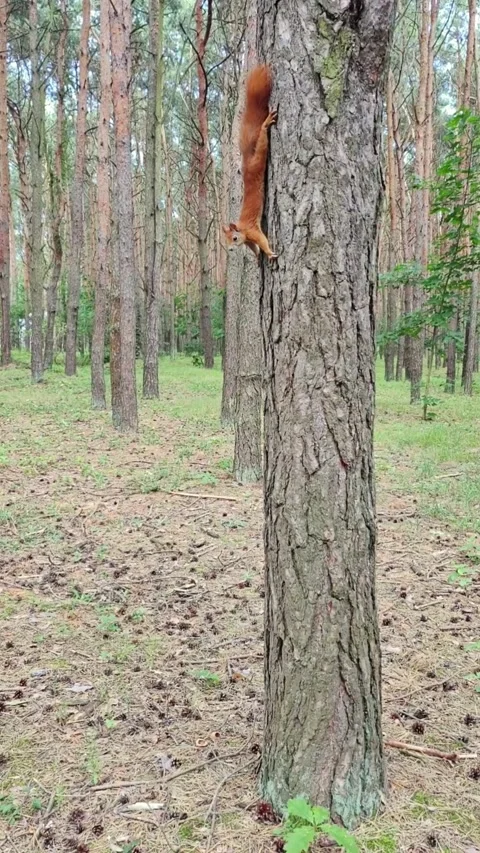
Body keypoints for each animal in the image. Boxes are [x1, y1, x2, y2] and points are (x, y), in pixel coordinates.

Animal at [222, 65, 277, 261]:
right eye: (226, 241)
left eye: (234, 238)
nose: (230, 250)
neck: (243, 230)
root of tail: (246, 163)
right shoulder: (248, 240)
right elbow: (254, 247)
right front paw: (258, 255)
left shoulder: (252, 230)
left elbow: (262, 240)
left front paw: (269, 253)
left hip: (258, 160)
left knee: (262, 144)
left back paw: (265, 124)